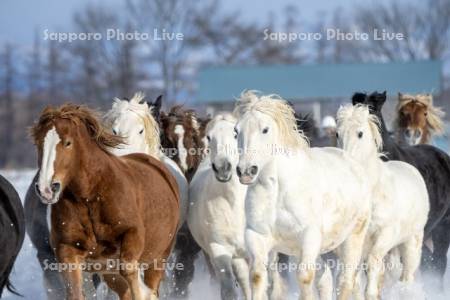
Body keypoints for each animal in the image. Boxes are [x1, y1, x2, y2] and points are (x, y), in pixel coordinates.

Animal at [30, 103, 179, 300]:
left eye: (68, 143)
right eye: (39, 143)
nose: (46, 189)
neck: (90, 198)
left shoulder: (132, 235)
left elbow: (131, 274)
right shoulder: (67, 250)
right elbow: (75, 292)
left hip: (159, 257)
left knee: (150, 286)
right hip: (109, 272)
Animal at [234, 91, 370, 300]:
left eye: (265, 129)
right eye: (236, 131)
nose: (246, 171)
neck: (279, 191)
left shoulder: (309, 237)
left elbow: (305, 277)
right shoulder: (256, 236)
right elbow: (257, 275)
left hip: (352, 238)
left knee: (346, 281)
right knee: (327, 279)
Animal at [338, 105, 428, 300]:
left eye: (360, 133)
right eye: (337, 134)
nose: (346, 164)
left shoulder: (385, 234)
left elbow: (373, 263)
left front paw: (371, 294)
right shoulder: (354, 239)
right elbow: (354, 274)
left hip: (412, 240)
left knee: (407, 274)